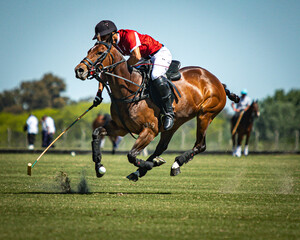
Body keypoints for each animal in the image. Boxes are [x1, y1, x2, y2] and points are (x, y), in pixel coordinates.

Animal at [74, 40, 239, 181]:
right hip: (174, 123)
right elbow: (96, 133)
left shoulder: (149, 129)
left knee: (200, 145)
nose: (79, 70)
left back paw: (175, 163)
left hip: (206, 114)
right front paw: (99, 166)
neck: (130, 89)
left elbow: (131, 155)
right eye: (89, 50)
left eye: (100, 52)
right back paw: (143, 171)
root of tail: (218, 81)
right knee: (162, 146)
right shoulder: (120, 128)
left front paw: (154, 163)